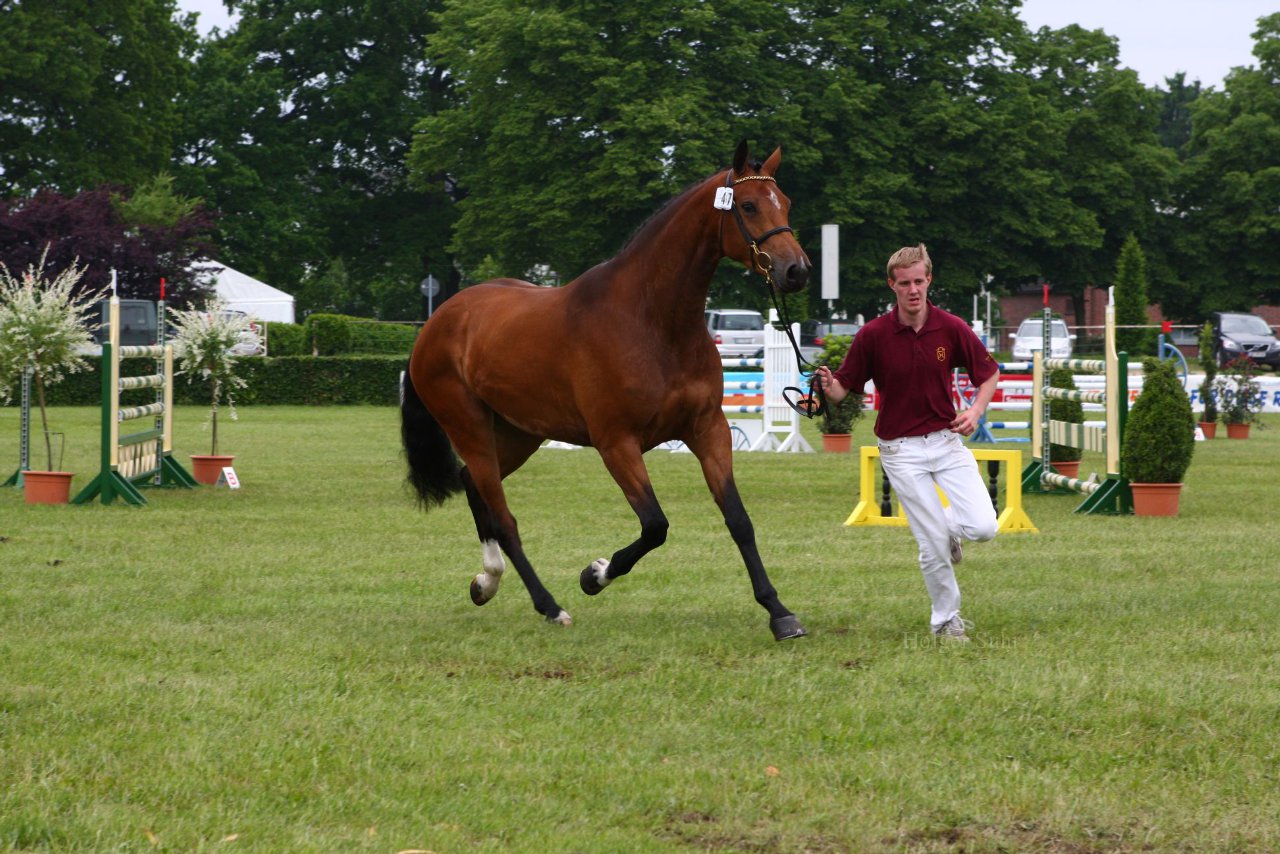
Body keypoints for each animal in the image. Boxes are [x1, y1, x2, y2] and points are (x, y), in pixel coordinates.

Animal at [401, 140, 808, 637]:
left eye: (785, 202)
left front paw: (779, 611)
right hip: (471, 428)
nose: (797, 271)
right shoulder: (617, 443)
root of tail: (437, 321)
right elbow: (655, 525)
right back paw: (549, 606)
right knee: (504, 516)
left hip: (519, 434)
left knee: (473, 487)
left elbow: (739, 520)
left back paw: (487, 581)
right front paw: (594, 575)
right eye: (748, 206)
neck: (650, 320)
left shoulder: (707, 430)